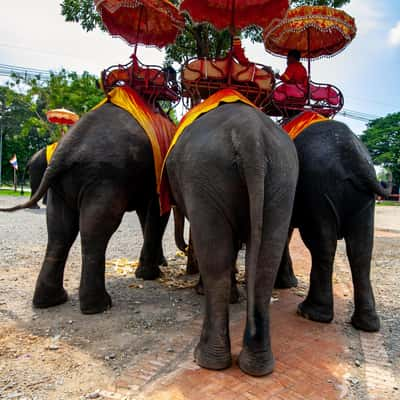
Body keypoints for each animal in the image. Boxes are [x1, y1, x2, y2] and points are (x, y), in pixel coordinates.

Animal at [0, 103, 172, 316]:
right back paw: (99, 306)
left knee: (60, 231)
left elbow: (148, 215)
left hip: (68, 185)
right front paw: (152, 274)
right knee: (95, 229)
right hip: (105, 179)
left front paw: (153, 269)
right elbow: (158, 213)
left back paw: (51, 301)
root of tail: (65, 151)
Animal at [164, 102, 298, 376]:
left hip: (203, 176)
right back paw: (257, 366)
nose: (183, 248)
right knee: (265, 264)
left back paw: (207, 360)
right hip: (283, 180)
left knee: (214, 261)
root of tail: (251, 135)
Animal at [276, 119, 388, 332]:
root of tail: (353, 156)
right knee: (361, 250)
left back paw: (310, 313)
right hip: (362, 199)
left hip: (316, 189)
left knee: (322, 243)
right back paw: (367, 325)